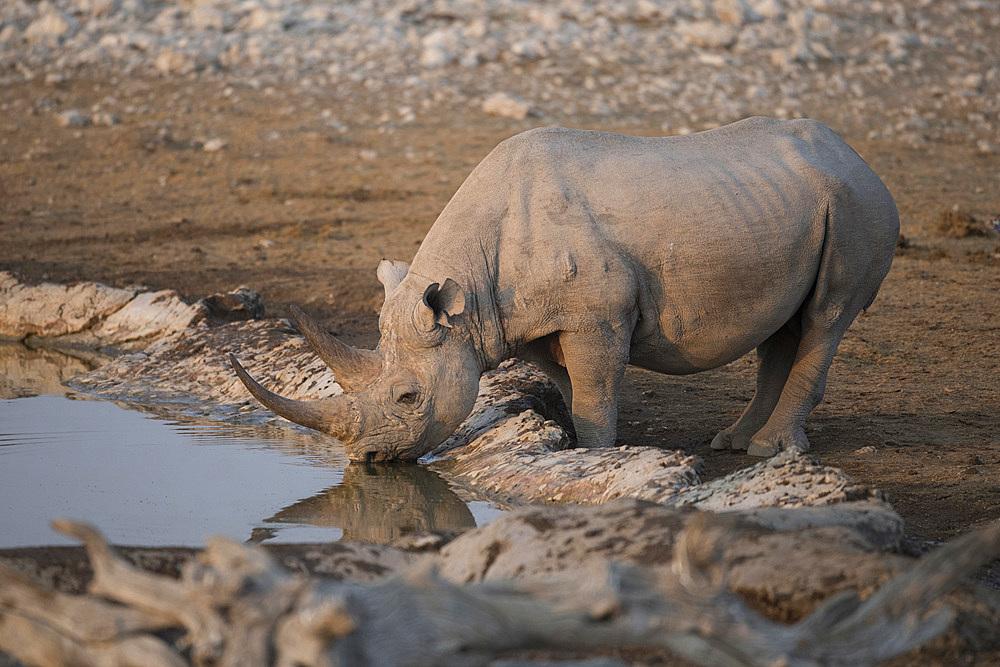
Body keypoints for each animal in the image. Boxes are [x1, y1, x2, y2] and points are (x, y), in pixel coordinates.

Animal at [232, 117, 900, 462]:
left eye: (407, 399)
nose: (366, 462)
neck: (466, 296)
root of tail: (857, 154)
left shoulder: (596, 316)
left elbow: (595, 390)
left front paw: (597, 456)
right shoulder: (523, 323)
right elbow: (572, 388)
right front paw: (576, 447)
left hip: (856, 205)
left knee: (826, 318)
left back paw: (771, 452)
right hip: (790, 204)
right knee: (784, 326)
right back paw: (735, 443)